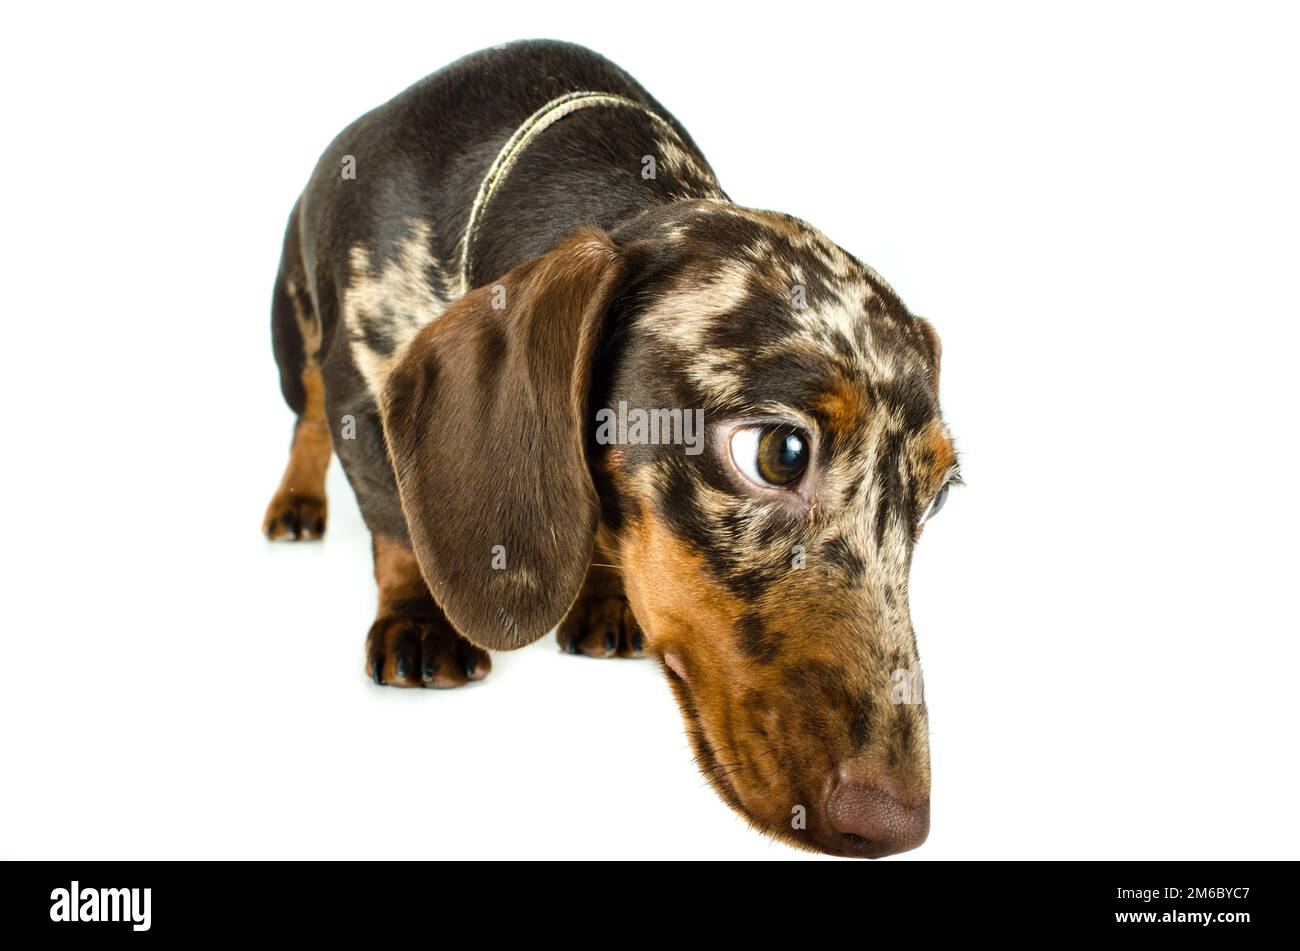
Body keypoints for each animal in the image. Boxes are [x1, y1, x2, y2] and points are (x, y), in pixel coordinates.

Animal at [261, 38, 956, 862]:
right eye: (780, 453)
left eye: (936, 498)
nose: (895, 823)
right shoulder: (361, 393)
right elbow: (394, 523)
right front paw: (418, 619)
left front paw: (601, 597)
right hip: (294, 335)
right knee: (303, 417)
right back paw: (297, 503)